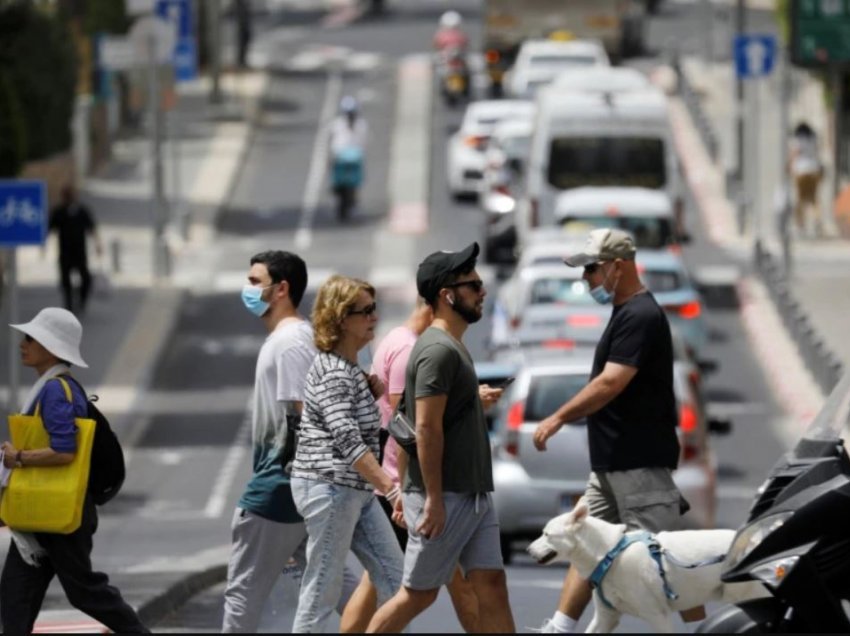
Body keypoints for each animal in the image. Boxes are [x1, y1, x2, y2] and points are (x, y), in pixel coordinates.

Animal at [528, 502, 764, 632]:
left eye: (546, 534)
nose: (529, 550)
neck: (610, 553)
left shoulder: (658, 615)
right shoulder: (606, 617)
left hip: (744, 596)